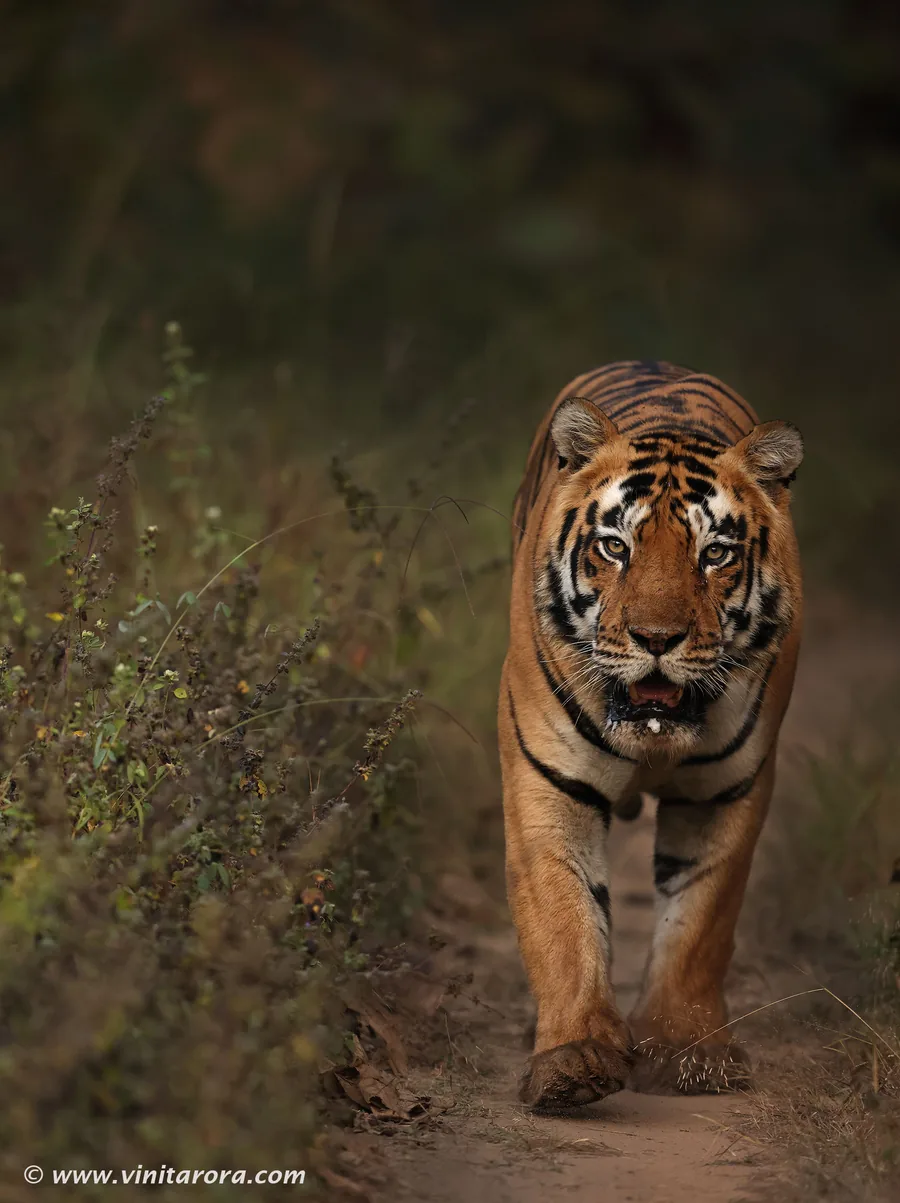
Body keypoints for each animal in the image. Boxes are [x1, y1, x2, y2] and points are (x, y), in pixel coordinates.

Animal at [498, 359, 803, 1111]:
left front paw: (687, 1051)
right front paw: (574, 1058)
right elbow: (564, 918)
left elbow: (700, 921)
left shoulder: (725, 791)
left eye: (715, 553)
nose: (656, 638)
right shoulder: (549, 783)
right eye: (616, 546)